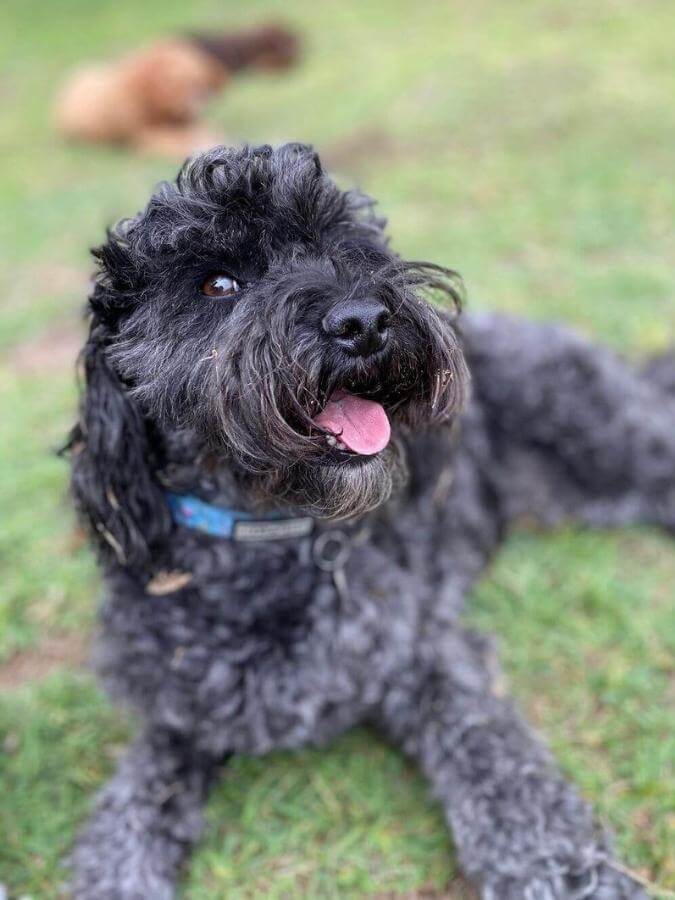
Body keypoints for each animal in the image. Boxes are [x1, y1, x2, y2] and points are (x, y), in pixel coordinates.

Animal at [56, 24, 300, 157]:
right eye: (183, 83)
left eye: (199, 81)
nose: (203, 99)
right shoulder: (145, 137)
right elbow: (176, 142)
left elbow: (208, 130)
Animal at [66, 144, 672, 896]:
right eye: (216, 283)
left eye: (339, 244)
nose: (363, 321)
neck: (269, 536)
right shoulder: (179, 715)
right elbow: (134, 805)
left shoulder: (431, 658)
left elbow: (506, 778)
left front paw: (566, 872)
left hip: (612, 438)